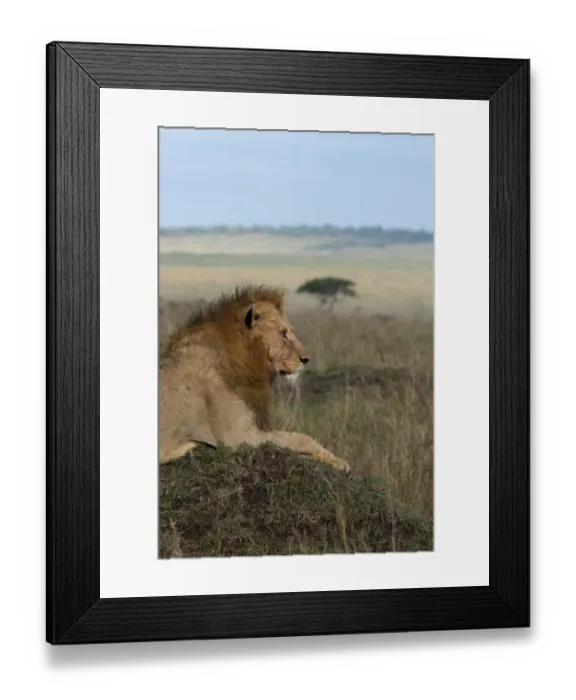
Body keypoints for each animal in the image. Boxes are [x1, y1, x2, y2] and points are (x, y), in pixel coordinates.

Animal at [159, 284, 350, 472]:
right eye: (283, 333)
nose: (306, 359)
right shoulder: (236, 436)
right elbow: (301, 438)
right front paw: (341, 463)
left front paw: (336, 460)